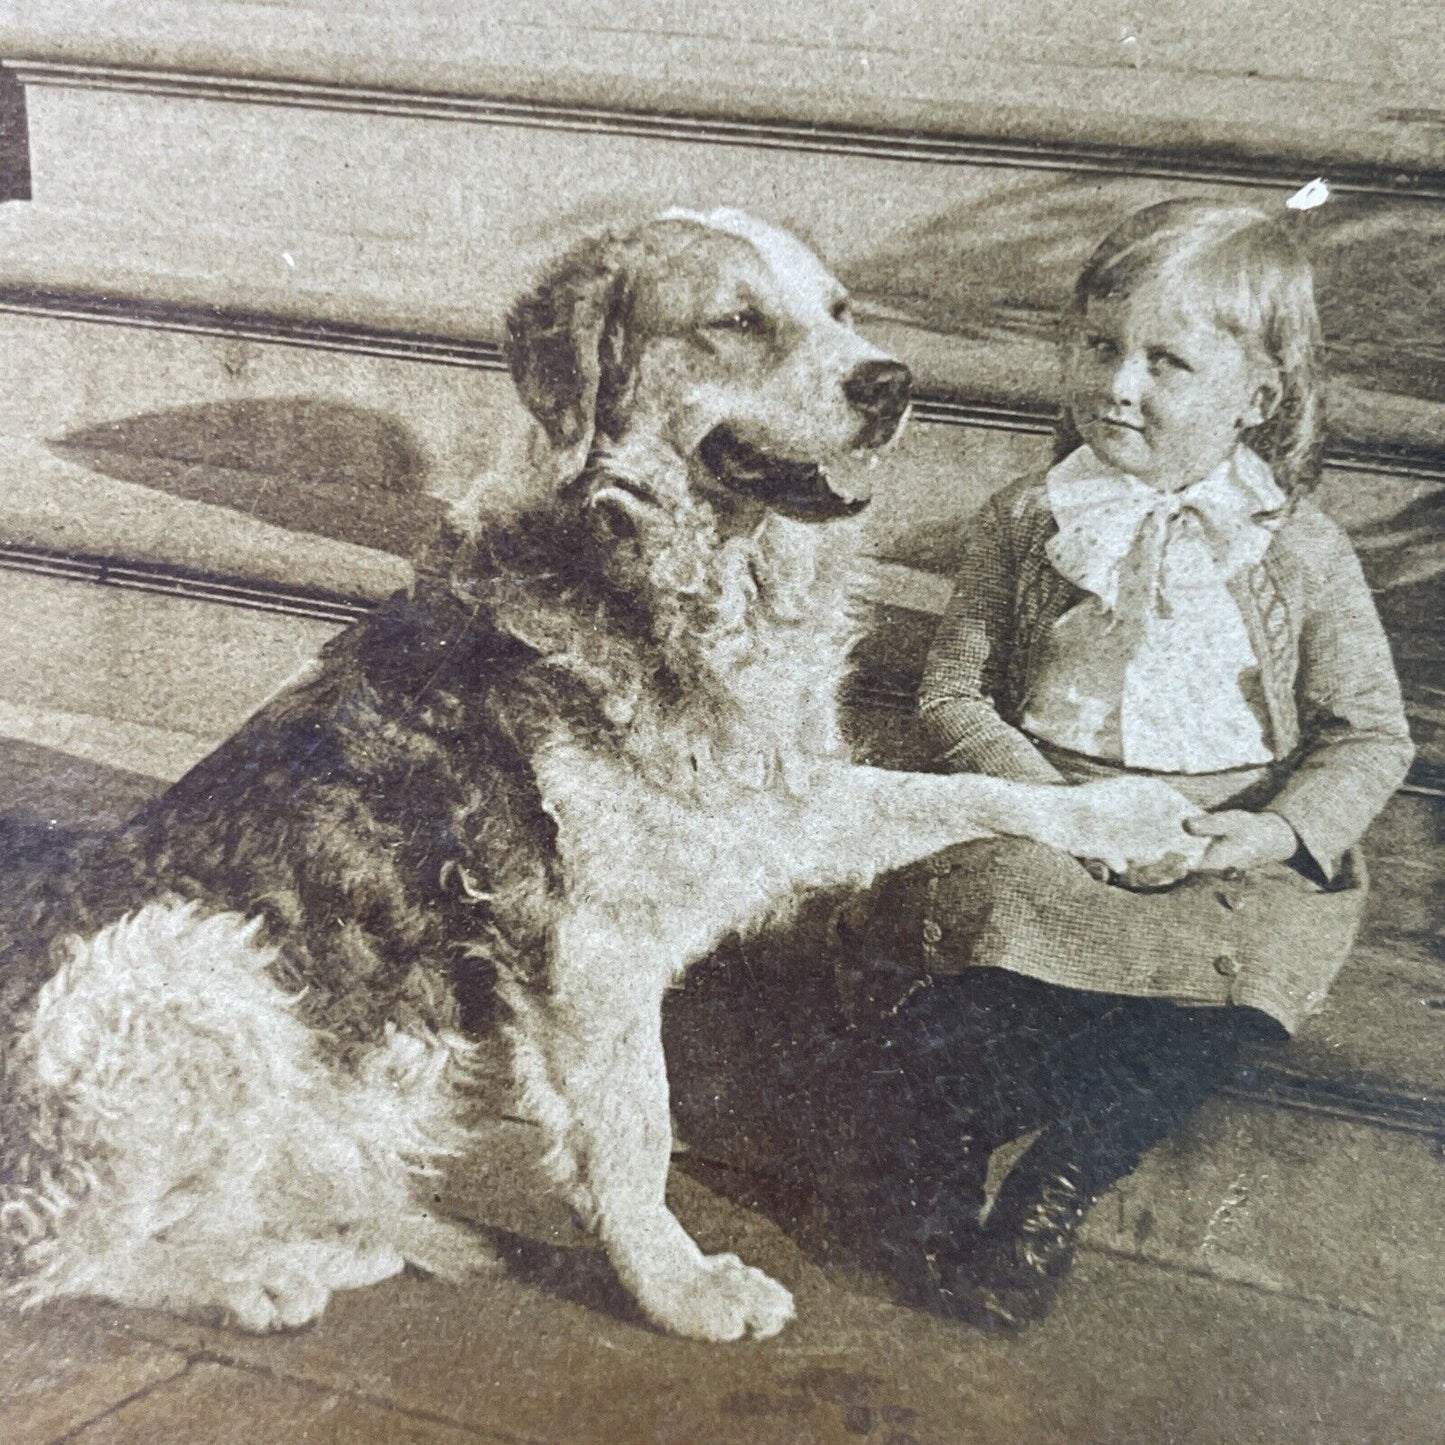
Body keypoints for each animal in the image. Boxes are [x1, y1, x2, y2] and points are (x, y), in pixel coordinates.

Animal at [0, 210, 1196, 1340]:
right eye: (736, 321)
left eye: (840, 310)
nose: (890, 382)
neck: (653, 568)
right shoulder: (589, 947)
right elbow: (636, 1128)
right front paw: (677, 1284)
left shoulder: (773, 804)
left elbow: (959, 792)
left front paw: (1128, 812)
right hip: (184, 966)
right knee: (56, 1258)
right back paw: (255, 1276)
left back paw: (333, 1241)